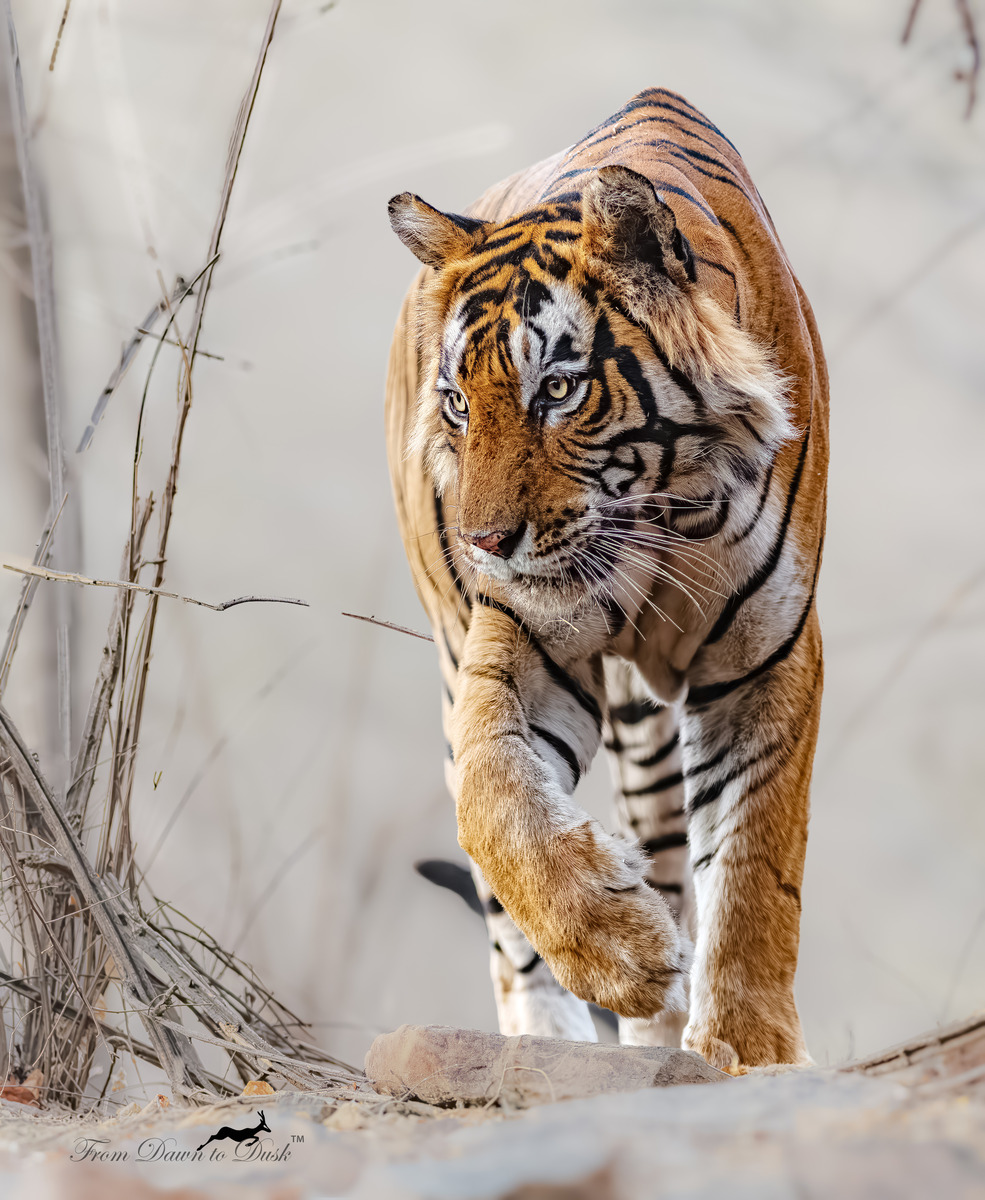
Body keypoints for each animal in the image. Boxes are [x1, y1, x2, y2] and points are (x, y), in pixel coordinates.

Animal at [384, 87, 828, 1071]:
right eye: (458, 404)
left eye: (556, 389)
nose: (482, 541)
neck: (664, 509)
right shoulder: (524, 640)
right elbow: (492, 801)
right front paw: (618, 952)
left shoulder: (764, 656)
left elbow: (753, 859)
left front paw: (747, 1048)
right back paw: (543, 1041)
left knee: (674, 852)